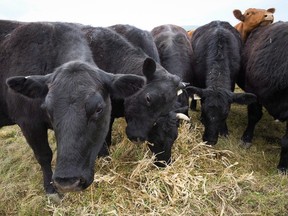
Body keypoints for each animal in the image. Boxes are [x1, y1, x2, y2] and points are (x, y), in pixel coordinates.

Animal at [0, 20, 144, 197]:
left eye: (98, 109)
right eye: (48, 110)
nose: (68, 182)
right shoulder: (28, 122)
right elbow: (44, 155)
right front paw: (50, 189)